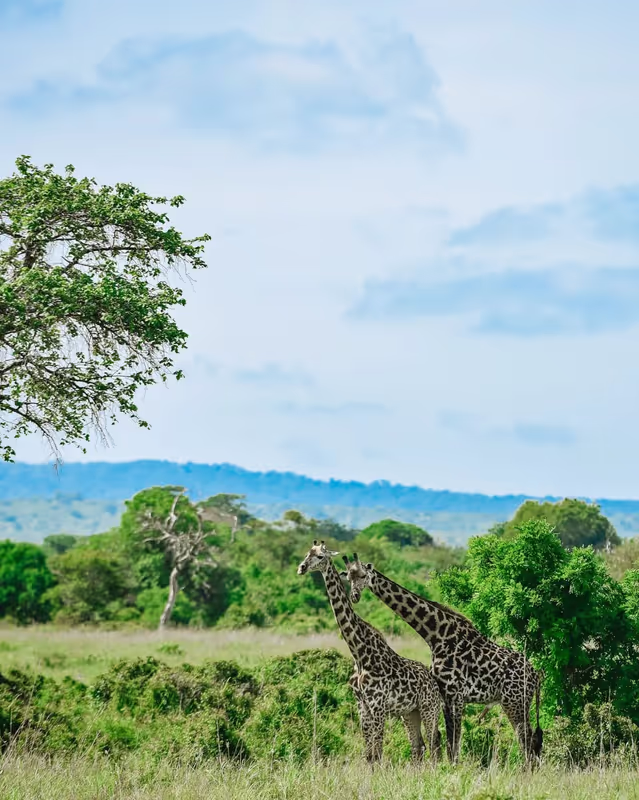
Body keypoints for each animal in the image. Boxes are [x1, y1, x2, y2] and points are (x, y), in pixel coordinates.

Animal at [297, 540, 442, 764]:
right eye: (307, 553)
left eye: (320, 556)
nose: (302, 568)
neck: (359, 652)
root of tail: (434, 681)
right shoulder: (362, 706)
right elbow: (369, 754)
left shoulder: (378, 705)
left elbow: (378, 752)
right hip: (410, 712)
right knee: (418, 747)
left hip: (429, 708)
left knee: (434, 745)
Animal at [341, 553, 543, 766]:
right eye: (349, 577)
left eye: (363, 575)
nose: (355, 596)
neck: (436, 635)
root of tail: (536, 676)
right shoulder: (446, 695)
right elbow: (450, 742)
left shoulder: (455, 695)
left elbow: (453, 741)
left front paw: (453, 768)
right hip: (518, 703)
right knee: (533, 740)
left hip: (514, 702)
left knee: (526, 739)